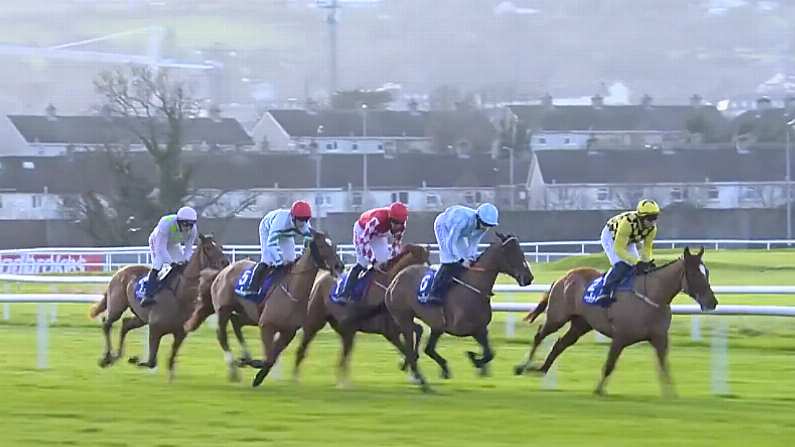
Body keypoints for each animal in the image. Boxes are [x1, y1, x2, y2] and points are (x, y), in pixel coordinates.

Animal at [90, 234, 229, 382]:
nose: (225, 262)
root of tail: (119, 271)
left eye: (220, 246)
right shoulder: (155, 328)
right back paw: (107, 358)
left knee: (125, 324)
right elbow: (152, 361)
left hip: (141, 318)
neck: (180, 295)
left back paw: (116, 356)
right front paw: (136, 360)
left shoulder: (180, 333)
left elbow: (171, 360)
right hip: (117, 306)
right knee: (107, 324)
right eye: (208, 247)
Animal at [292, 243, 430, 386]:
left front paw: (410, 369)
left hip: (345, 329)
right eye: (420, 267)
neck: (388, 286)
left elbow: (417, 332)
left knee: (343, 355)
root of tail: (319, 279)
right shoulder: (390, 330)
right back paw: (297, 378)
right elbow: (408, 345)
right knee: (303, 348)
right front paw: (409, 368)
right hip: (315, 322)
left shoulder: (397, 327)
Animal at [386, 233, 536, 394]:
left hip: (433, 325)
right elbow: (486, 353)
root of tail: (395, 279)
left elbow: (490, 353)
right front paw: (474, 359)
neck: (474, 287)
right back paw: (422, 381)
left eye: (520, 251)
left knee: (424, 344)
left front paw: (476, 360)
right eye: (510, 252)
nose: (529, 278)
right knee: (412, 346)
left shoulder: (481, 329)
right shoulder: (463, 328)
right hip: (404, 318)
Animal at [516, 247, 720, 398]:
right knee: (539, 335)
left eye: (707, 272)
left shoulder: (659, 338)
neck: (652, 295)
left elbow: (664, 366)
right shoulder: (620, 337)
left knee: (560, 344)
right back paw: (523, 366)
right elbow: (609, 364)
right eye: (695, 274)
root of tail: (562, 278)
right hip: (557, 317)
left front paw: (671, 394)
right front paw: (598, 390)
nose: (712, 302)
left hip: (581, 324)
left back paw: (541, 369)